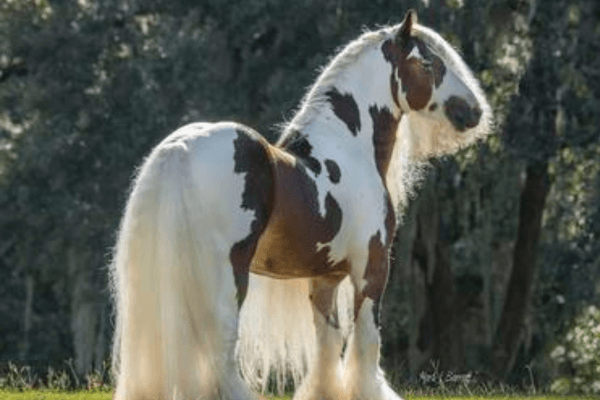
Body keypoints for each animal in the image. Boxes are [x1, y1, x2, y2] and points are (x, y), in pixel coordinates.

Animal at [110, 8, 490, 400]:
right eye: (428, 63)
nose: (474, 111)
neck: (348, 147)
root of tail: (182, 148)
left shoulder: (325, 276)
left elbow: (328, 341)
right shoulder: (372, 266)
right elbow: (366, 339)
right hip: (228, 274)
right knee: (221, 346)